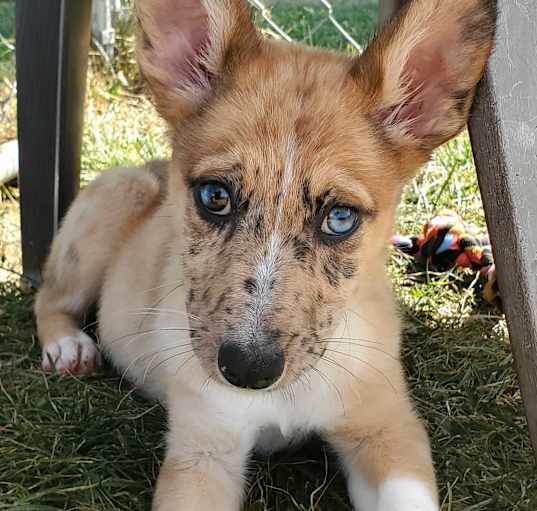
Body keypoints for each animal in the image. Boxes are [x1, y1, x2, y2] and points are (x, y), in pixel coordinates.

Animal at [33, 2, 496, 510]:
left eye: (340, 218)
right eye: (215, 196)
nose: (246, 371)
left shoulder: (388, 428)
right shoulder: (203, 451)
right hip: (116, 200)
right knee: (49, 295)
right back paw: (68, 346)